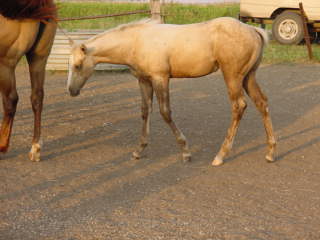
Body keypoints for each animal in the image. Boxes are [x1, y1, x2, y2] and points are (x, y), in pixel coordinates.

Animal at [0, 0, 57, 161]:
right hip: (39, 58)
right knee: (37, 96)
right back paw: (35, 146)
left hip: (5, 63)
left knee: (10, 100)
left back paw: (2, 146)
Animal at [67, 17, 276, 166]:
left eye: (78, 66)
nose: (71, 90)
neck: (136, 41)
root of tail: (254, 30)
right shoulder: (144, 80)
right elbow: (145, 111)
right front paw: (139, 150)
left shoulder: (160, 77)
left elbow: (165, 112)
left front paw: (185, 152)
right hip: (248, 77)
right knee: (262, 102)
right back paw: (271, 152)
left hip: (232, 76)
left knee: (238, 106)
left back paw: (220, 155)